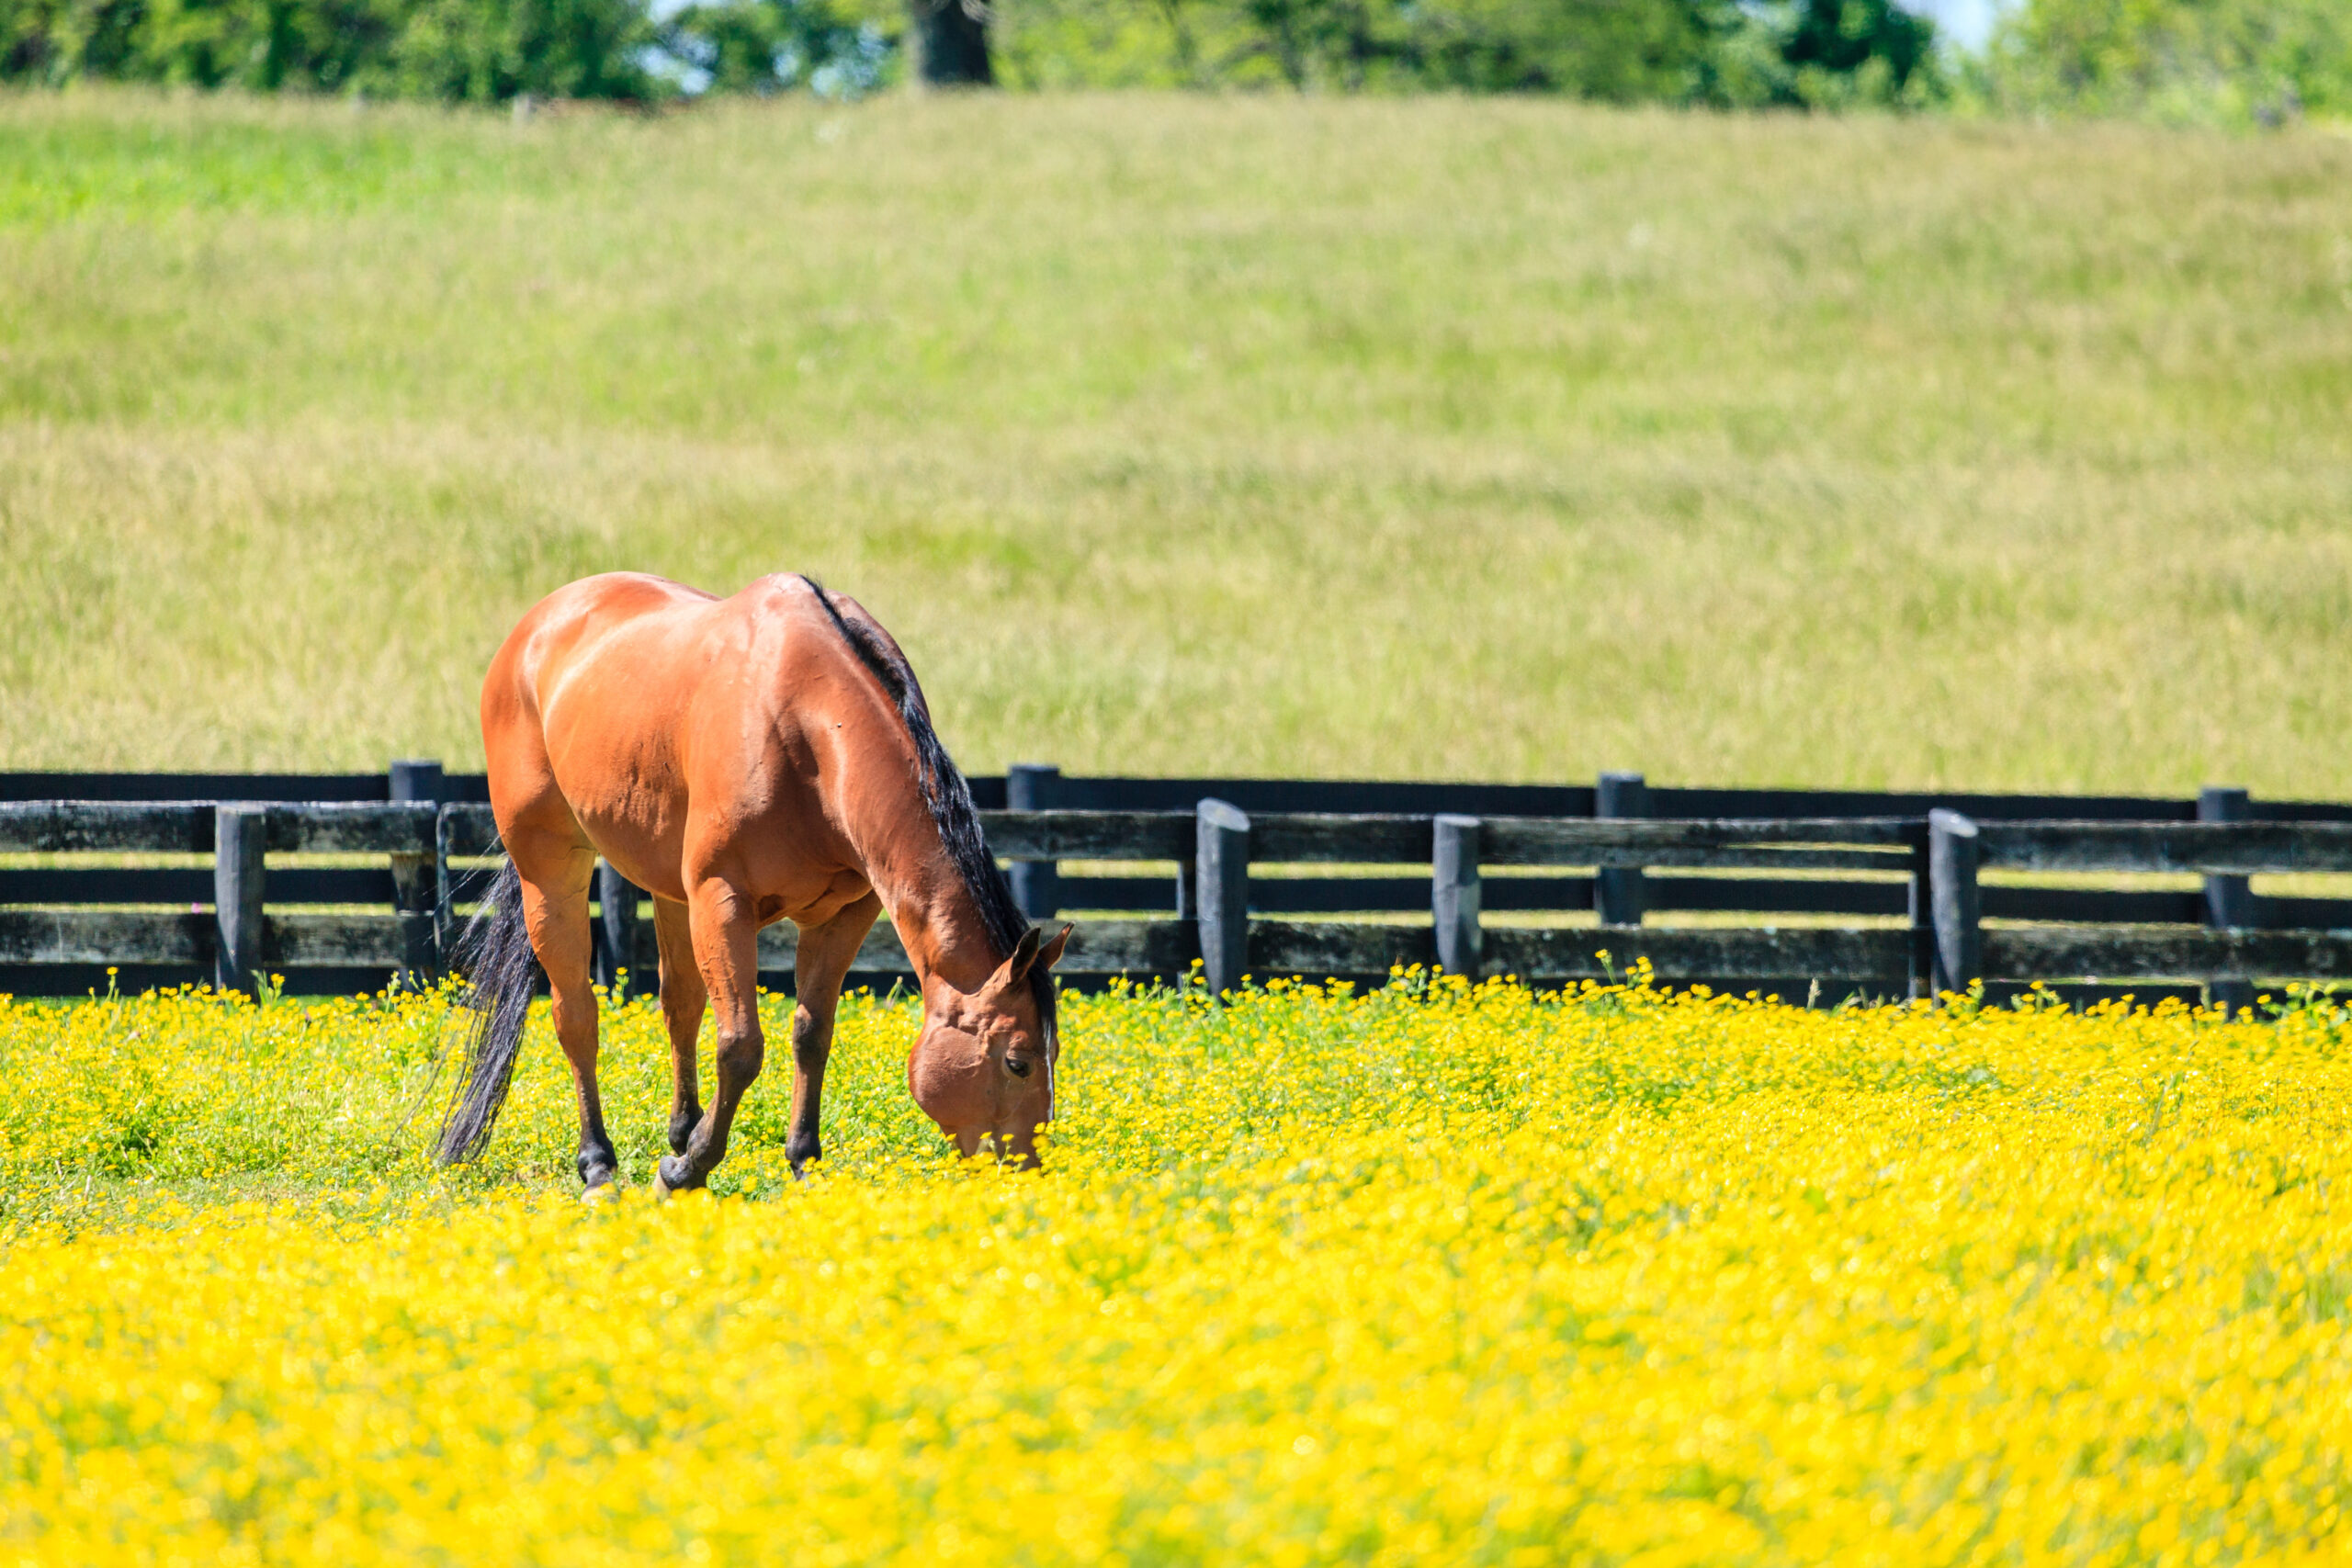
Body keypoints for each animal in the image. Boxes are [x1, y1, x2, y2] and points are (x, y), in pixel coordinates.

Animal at [437, 570, 1072, 1194]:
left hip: (669, 891)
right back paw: (599, 1165)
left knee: (680, 1004)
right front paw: (686, 1172)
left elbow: (812, 1034)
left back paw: (682, 1129)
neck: (808, 729)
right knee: (576, 1016)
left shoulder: (845, 913)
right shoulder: (723, 902)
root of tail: (535, 628)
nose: (1026, 1172)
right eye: (1017, 1061)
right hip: (551, 872)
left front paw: (802, 1163)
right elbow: (740, 1047)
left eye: (1055, 1052)